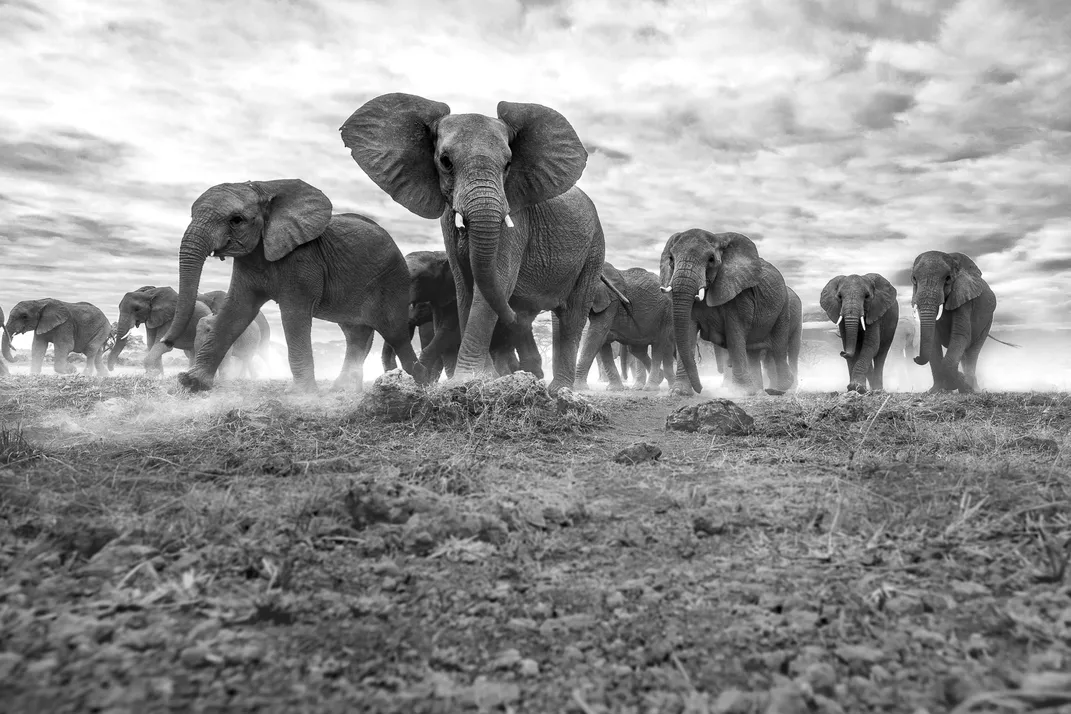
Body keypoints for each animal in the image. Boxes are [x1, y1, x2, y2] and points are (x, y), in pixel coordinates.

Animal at [147, 177, 430, 391]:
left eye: (236, 220)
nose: (168, 342)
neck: (264, 189)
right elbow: (236, 310)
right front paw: (191, 384)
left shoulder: (303, 260)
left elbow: (294, 315)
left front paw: (302, 395)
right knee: (355, 334)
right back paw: (341, 389)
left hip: (392, 280)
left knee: (394, 332)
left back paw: (422, 383)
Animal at [338, 91, 608, 393]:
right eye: (445, 161)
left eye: (508, 165)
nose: (514, 318)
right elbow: (465, 287)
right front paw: (480, 378)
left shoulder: (517, 218)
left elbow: (496, 282)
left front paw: (469, 380)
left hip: (594, 249)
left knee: (572, 316)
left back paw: (560, 390)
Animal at [574, 265, 672, 393]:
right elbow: (602, 339)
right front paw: (614, 389)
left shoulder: (612, 302)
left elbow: (597, 334)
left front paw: (578, 387)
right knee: (636, 350)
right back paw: (660, 377)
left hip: (665, 314)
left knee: (658, 346)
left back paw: (650, 388)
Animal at [659, 229, 796, 396]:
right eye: (671, 258)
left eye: (711, 259)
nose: (701, 389)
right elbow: (688, 331)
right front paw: (679, 392)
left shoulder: (739, 295)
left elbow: (734, 333)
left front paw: (741, 392)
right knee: (753, 352)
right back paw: (759, 389)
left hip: (783, 307)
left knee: (778, 347)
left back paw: (779, 387)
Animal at [908, 251, 998, 393]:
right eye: (914, 279)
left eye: (948, 278)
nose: (915, 358)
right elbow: (934, 340)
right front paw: (936, 390)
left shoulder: (964, 298)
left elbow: (961, 336)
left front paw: (959, 382)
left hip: (988, 320)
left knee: (972, 352)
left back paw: (973, 389)